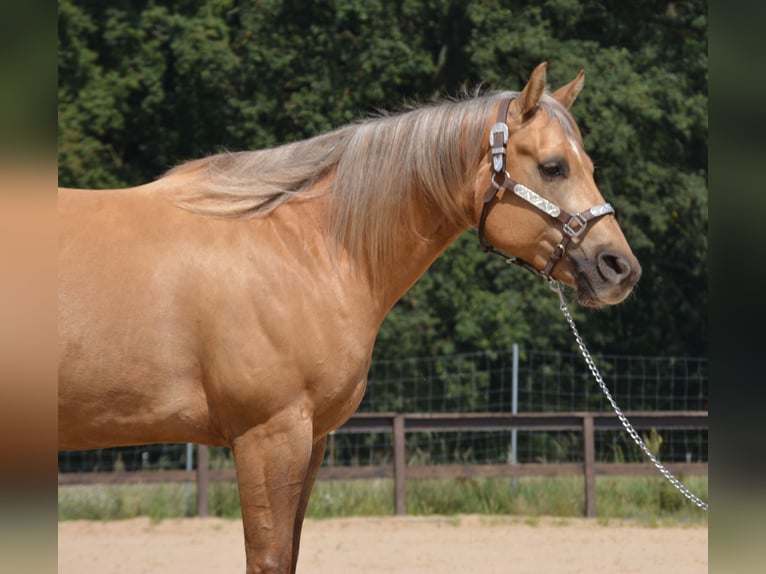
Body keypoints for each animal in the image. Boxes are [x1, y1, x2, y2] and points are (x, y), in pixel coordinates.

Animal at [58, 64, 640, 574]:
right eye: (552, 166)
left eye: (587, 165)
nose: (620, 267)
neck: (303, 246)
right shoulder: (269, 436)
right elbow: (268, 559)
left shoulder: (310, 439)